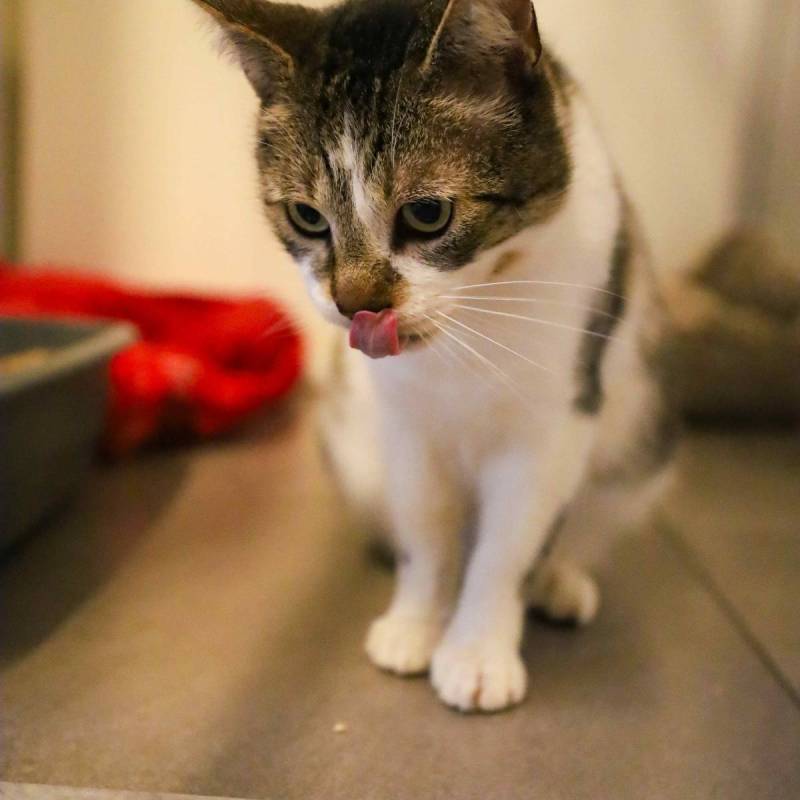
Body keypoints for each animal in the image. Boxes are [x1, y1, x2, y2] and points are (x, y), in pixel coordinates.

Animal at [190, 0, 676, 712]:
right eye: (307, 217)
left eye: (426, 213)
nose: (355, 304)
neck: (469, 326)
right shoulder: (404, 423)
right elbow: (425, 526)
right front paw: (416, 624)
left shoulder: (554, 420)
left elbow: (508, 547)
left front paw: (475, 653)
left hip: (638, 444)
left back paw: (559, 581)